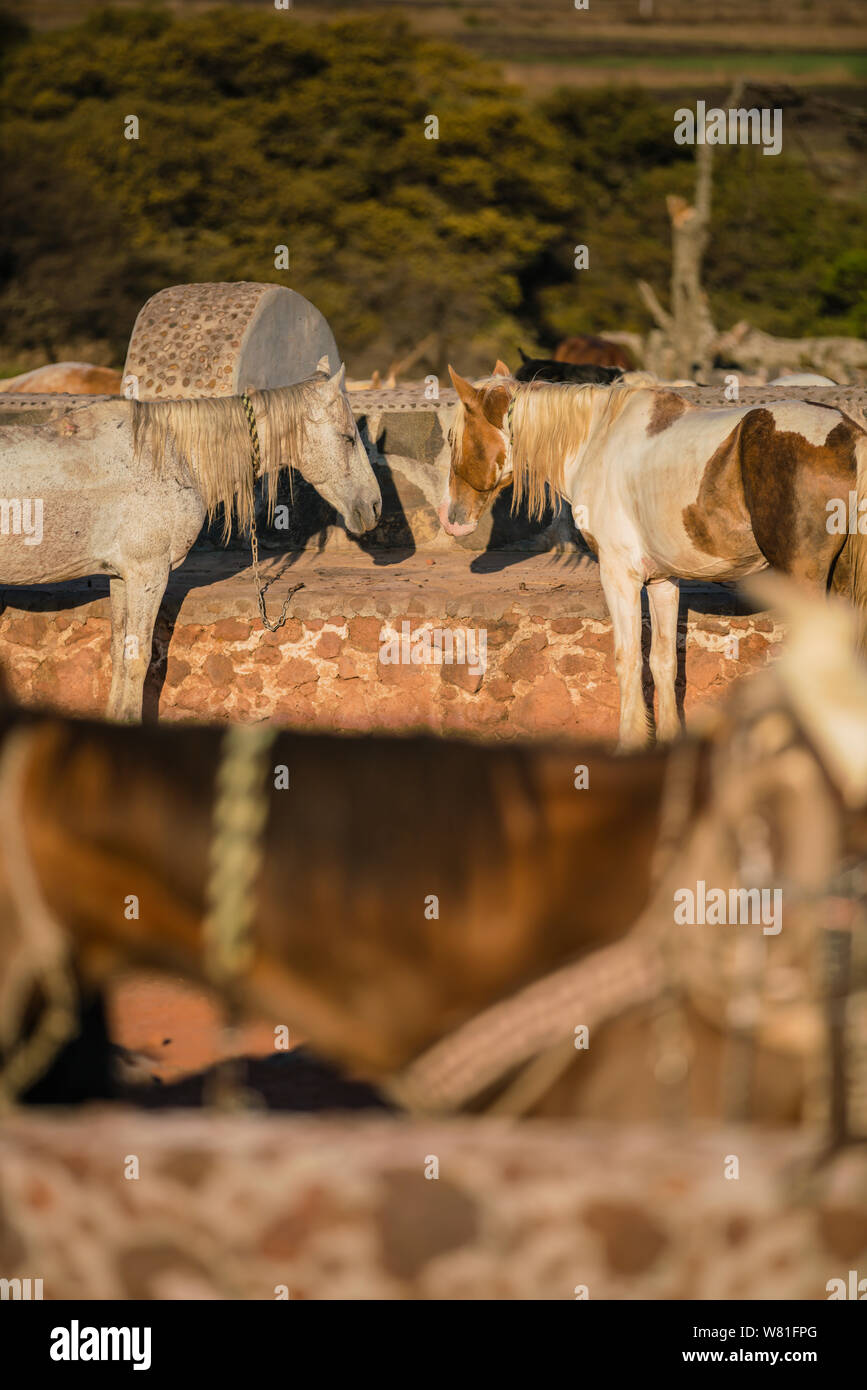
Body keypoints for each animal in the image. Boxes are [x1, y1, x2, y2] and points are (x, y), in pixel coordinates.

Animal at [0, 364, 377, 722]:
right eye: (348, 439)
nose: (374, 507)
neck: (170, 455)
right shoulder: (148, 574)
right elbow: (137, 660)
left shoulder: (122, 577)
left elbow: (120, 652)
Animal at [444, 364, 861, 745]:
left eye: (453, 437)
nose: (452, 520)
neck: (598, 443)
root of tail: (850, 438)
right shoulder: (663, 581)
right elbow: (663, 662)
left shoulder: (619, 576)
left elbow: (628, 659)